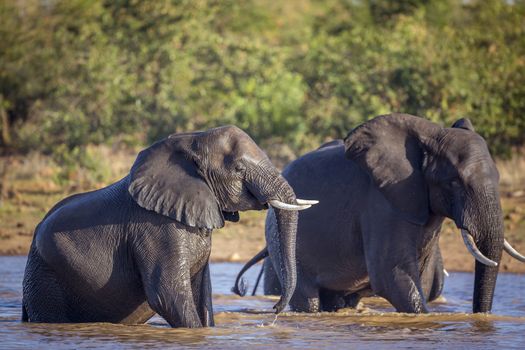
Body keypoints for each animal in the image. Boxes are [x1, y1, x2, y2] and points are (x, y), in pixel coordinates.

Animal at [22, 124, 316, 326]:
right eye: (240, 170)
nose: (275, 310)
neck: (192, 141)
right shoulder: (154, 228)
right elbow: (167, 294)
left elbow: (202, 295)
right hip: (46, 277)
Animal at [233, 113, 524, 314]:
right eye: (454, 182)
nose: (480, 318)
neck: (431, 137)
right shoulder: (381, 203)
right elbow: (391, 275)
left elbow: (418, 276)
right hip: (280, 239)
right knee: (309, 299)